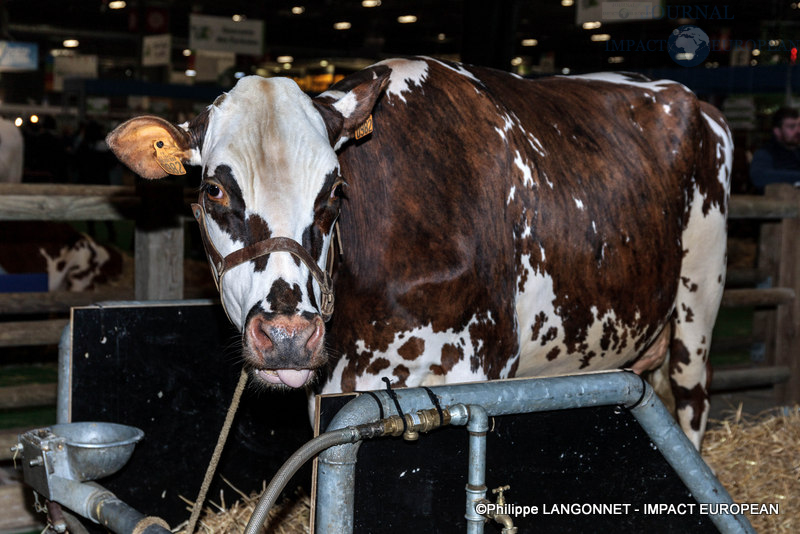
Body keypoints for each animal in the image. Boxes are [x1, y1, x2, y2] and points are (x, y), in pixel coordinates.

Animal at [106, 57, 732, 452]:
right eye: (214, 189)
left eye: (336, 190)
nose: (288, 335)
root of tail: (688, 98)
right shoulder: (331, 392)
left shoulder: (478, 370)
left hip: (699, 302)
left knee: (691, 403)